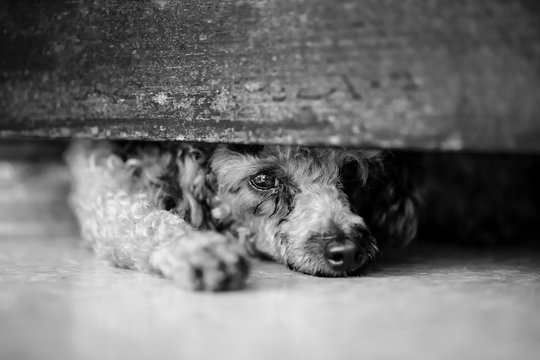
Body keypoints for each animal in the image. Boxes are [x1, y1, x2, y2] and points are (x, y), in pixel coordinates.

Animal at [67, 139, 420, 292]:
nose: (347, 251)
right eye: (263, 180)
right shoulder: (102, 179)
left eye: (349, 171)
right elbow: (135, 217)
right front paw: (197, 249)